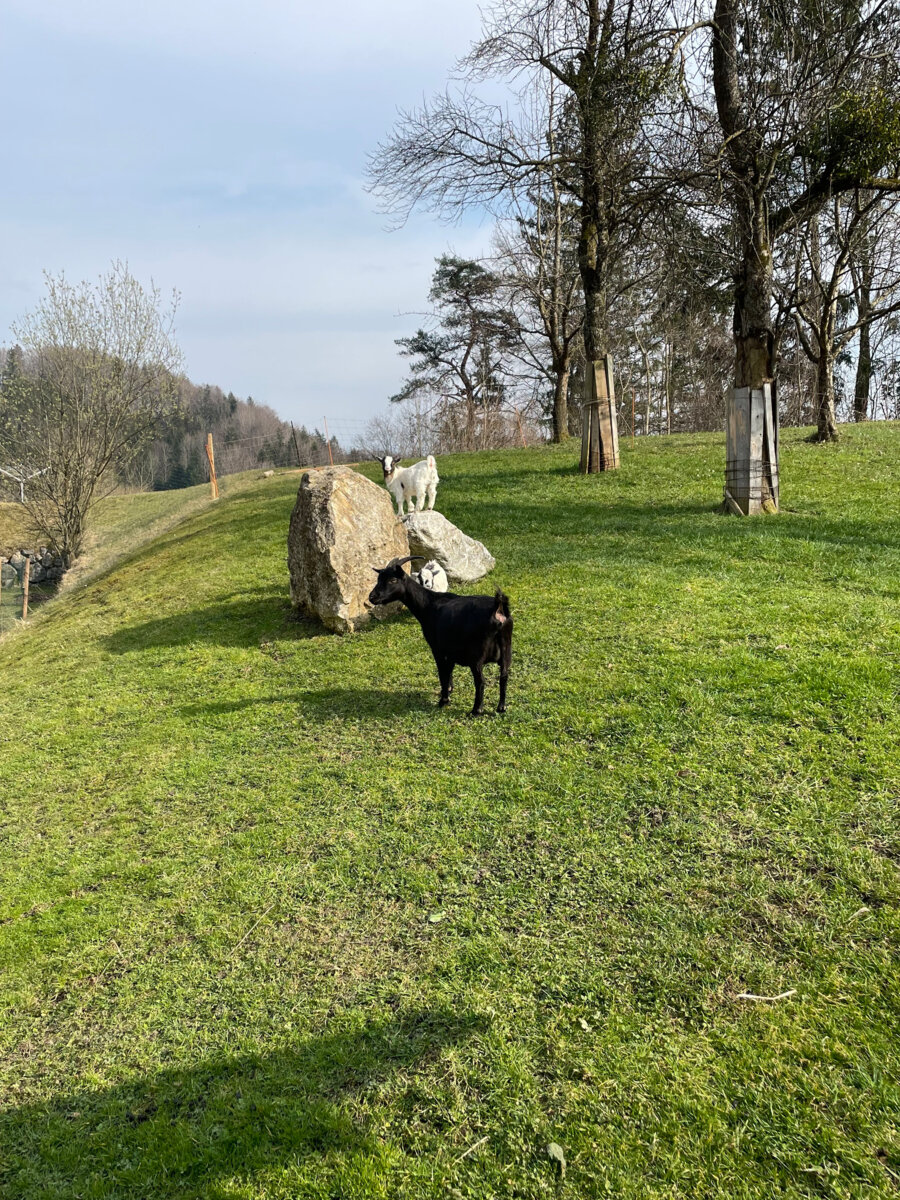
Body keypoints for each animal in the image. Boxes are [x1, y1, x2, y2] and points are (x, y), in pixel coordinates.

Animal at [369, 559, 513, 715]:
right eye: (378, 579)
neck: (428, 604)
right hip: (506, 649)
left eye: (393, 580)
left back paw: (476, 710)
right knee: (504, 675)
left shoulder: (437, 648)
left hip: (477, 655)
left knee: (480, 680)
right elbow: (449, 670)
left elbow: (442, 672)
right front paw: (449, 690)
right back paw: (501, 707)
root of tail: (498, 609)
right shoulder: (450, 650)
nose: (372, 597)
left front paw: (444, 700)